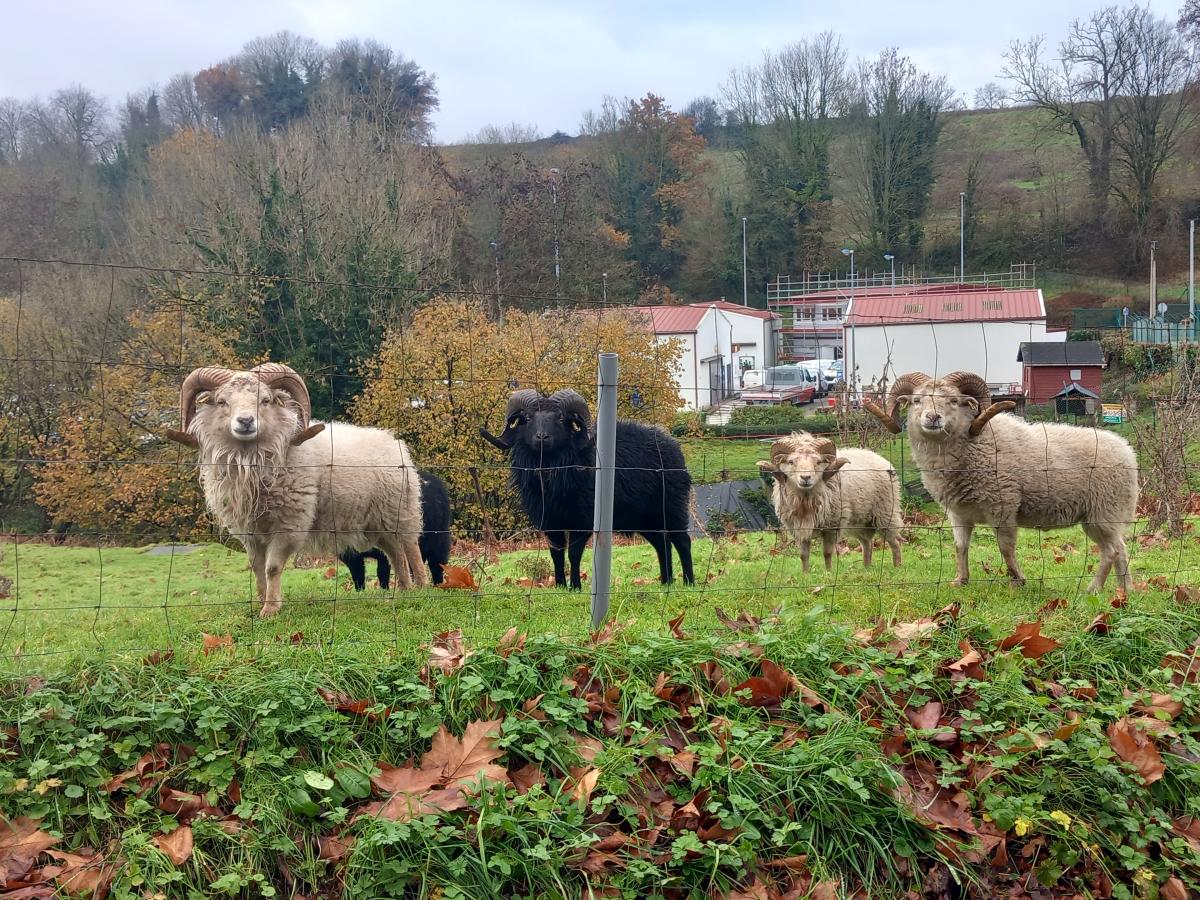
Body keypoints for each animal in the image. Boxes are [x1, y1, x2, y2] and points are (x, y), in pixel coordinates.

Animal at [166, 363, 426, 617]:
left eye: (266, 400)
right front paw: (260, 602)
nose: (246, 421)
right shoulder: (249, 531)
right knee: (395, 552)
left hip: (400, 511)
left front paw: (271, 609)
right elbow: (257, 568)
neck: (252, 463)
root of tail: (392, 440)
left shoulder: (289, 523)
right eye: (222, 401)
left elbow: (272, 568)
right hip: (378, 522)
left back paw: (421, 586)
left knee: (411, 547)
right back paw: (404, 589)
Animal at [480, 389, 694, 589]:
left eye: (561, 419)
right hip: (645, 519)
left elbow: (574, 554)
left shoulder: (582, 520)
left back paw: (689, 582)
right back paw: (666, 582)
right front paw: (559, 585)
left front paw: (575, 586)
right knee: (662, 544)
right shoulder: (549, 521)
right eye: (528, 418)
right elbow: (556, 554)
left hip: (672, 508)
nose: (541, 437)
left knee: (682, 541)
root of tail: (674, 446)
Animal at [757, 432, 903, 572]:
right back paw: (866, 568)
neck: (805, 501)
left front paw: (828, 573)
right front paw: (805, 574)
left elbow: (827, 553)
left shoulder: (832, 527)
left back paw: (897, 567)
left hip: (885, 512)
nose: (805, 477)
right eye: (791, 461)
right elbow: (803, 555)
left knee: (894, 542)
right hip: (861, 521)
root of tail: (879, 457)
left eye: (818, 461)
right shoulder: (798, 528)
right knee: (867, 543)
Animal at [864, 370, 1138, 592]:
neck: (975, 444)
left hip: (1104, 511)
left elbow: (1005, 548)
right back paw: (1124, 591)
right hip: (1104, 515)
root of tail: (1128, 452)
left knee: (1111, 551)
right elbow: (960, 546)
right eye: (917, 400)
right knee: (1121, 548)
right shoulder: (958, 513)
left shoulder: (1003, 505)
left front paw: (1018, 580)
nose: (933, 418)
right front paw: (960, 581)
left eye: (953, 401)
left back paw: (1093, 589)